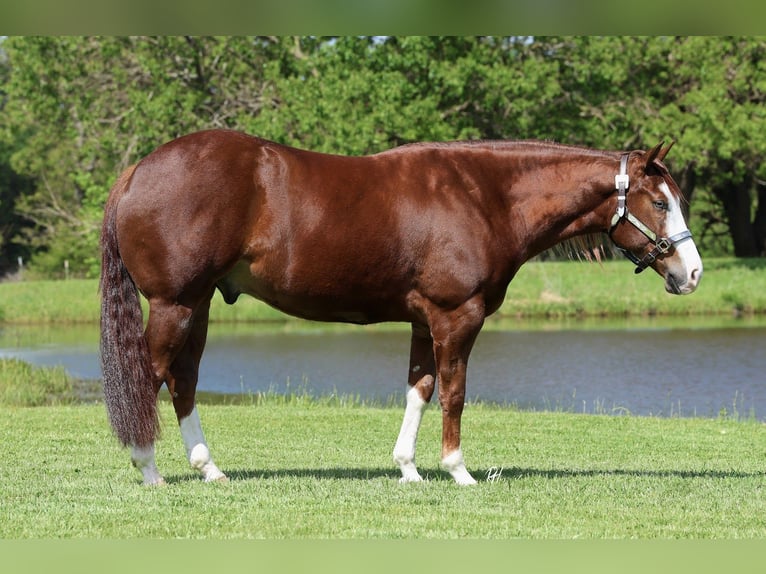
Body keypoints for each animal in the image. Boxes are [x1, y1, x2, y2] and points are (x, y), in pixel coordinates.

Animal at [100, 129, 702, 485]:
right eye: (659, 201)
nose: (692, 273)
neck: (483, 196)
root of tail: (138, 170)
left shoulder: (423, 319)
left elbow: (420, 389)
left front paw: (409, 469)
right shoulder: (457, 315)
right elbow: (455, 392)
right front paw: (458, 471)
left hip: (197, 305)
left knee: (182, 380)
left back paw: (210, 469)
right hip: (175, 304)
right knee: (149, 375)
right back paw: (149, 470)